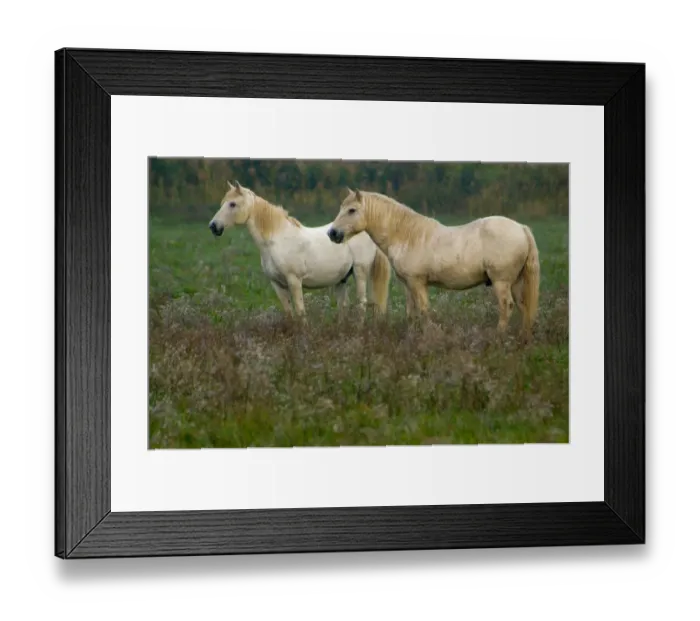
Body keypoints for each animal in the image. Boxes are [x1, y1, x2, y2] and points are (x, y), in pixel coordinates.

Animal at [208, 181, 392, 320]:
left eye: (233, 204)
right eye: (223, 203)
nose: (213, 226)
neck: (276, 240)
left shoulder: (294, 281)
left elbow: (300, 312)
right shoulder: (277, 284)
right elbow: (289, 313)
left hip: (360, 272)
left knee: (361, 304)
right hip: (342, 279)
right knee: (343, 306)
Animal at [327, 188, 541, 339]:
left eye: (352, 210)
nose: (332, 233)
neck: (406, 235)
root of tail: (522, 228)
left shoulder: (418, 283)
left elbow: (423, 310)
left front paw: (429, 337)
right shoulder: (408, 284)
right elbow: (411, 313)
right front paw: (412, 337)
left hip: (501, 282)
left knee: (507, 307)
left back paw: (498, 337)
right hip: (516, 283)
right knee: (524, 307)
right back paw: (523, 337)